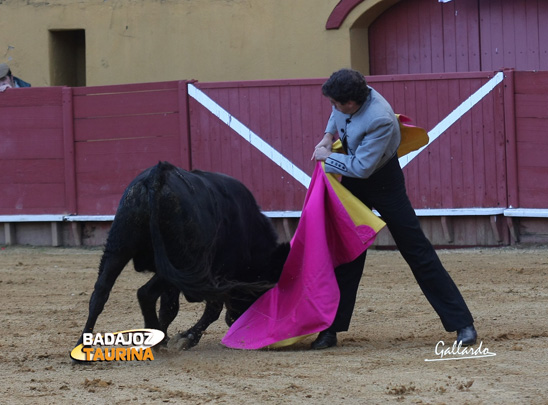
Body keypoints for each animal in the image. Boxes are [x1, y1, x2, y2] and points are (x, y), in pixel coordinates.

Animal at [78, 161, 292, 350]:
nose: (235, 320)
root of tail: (156, 177)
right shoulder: (219, 273)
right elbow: (211, 308)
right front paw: (185, 339)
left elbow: (169, 308)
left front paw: (170, 336)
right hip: (184, 263)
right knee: (145, 293)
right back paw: (156, 343)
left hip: (119, 246)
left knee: (100, 292)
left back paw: (82, 345)